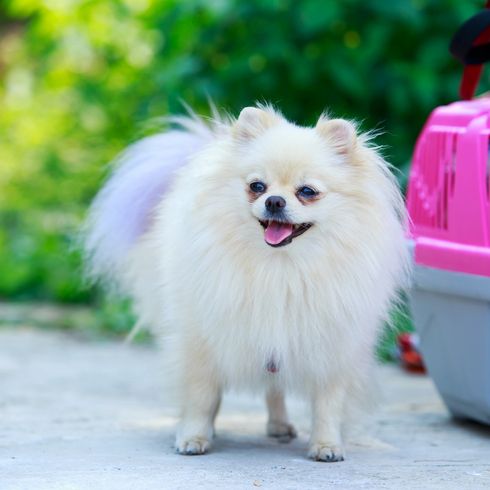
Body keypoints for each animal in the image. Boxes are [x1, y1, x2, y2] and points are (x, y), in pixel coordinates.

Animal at [84, 104, 410, 464]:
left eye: (307, 192)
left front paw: (326, 445)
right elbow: (201, 395)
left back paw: (279, 425)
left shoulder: (333, 348)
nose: (275, 201)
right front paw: (194, 436)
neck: (279, 268)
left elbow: (328, 404)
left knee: (275, 389)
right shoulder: (203, 340)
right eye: (257, 185)